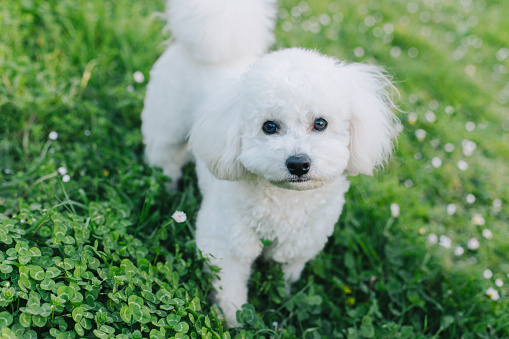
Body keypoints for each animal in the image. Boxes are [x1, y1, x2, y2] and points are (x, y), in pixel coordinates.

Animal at [141, 0, 398, 328]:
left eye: (321, 123)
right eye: (269, 127)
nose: (298, 164)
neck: (284, 205)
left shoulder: (298, 246)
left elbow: (284, 276)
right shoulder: (226, 245)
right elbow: (231, 294)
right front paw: (236, 324)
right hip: (167, 127)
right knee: (164, 159)